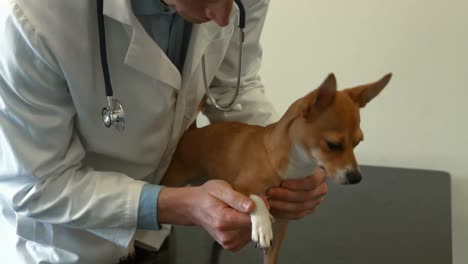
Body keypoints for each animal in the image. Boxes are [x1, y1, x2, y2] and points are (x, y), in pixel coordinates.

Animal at [161, 73, 392, 264]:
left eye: (358, 143)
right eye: (333, 145)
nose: (356, 177)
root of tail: (191, 132)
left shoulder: (281, 225)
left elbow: (271, 257)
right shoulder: (237, 187)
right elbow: (255, 198)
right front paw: (262, 223)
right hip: (171, 180)